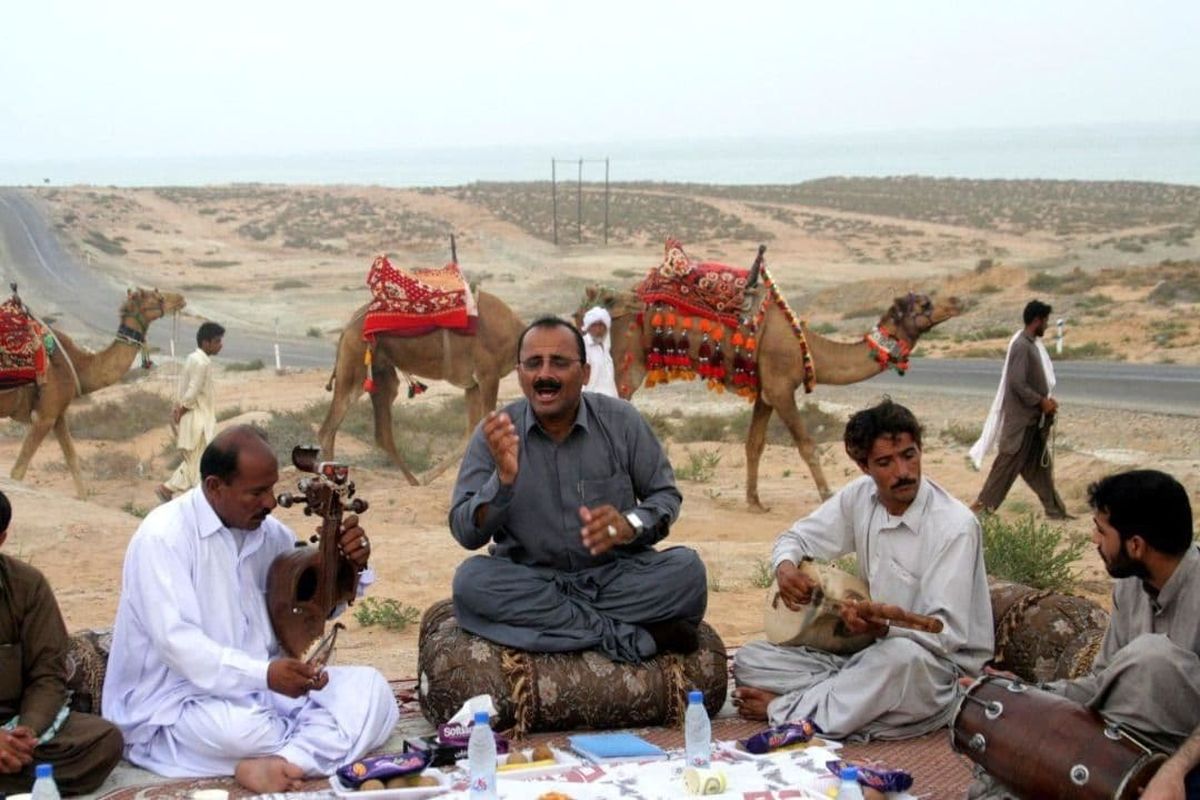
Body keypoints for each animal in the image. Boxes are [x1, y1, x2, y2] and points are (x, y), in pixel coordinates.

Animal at [0, 287, 187, 501]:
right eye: (158, 296)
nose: (181, 298)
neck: (77, 364)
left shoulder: (57, 415)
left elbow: (73, 461)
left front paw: (83, 497)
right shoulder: (44, 416)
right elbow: (17, 471)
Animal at [319, 256, 525, 484]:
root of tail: (346, 328)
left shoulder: (472, 385)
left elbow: (471, 432)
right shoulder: (488, 374)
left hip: (381, 372)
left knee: (381, 433)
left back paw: (414, 481)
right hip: (354, 366)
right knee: (329, 428)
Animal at [576, 241, 960, 510]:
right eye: (924, 304)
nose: (957, 301)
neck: (805, 345)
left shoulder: (765, 391)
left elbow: (754, 445)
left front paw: (755, 501)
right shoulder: (780, 387)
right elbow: (807, 444)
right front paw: (826, 494)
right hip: (626, 362)